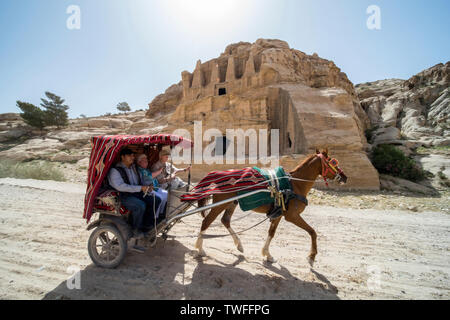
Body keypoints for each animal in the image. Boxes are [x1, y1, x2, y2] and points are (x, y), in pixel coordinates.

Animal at [194, 149, 348, 266]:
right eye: (333, 162)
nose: (344, 177)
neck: (295, 185)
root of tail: (218, 174)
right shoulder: (292, 216)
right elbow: (312, 232)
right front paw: (311, 256)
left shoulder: (278, 214)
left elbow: (271, 233)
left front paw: (267, 254)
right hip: (220, 204)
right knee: (206, 222)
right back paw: (199, 248)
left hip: (232, 203)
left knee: (225, 220)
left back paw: (239, 245)